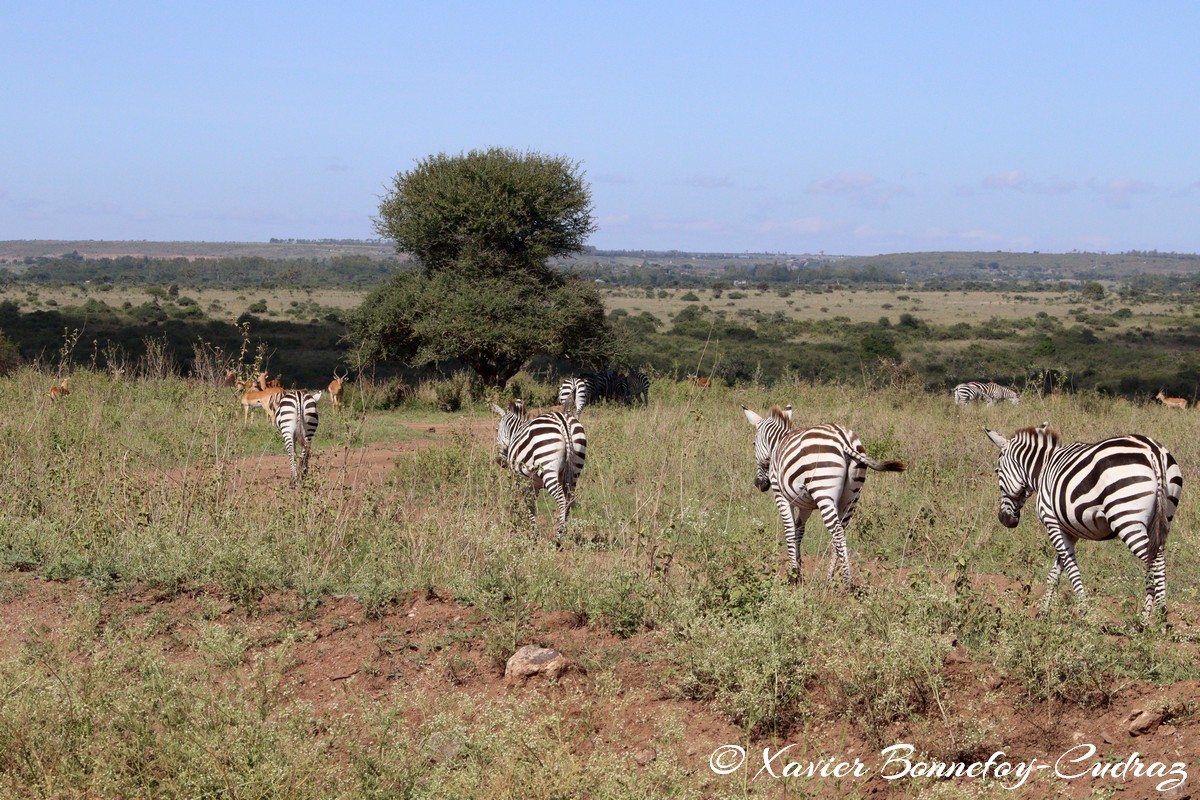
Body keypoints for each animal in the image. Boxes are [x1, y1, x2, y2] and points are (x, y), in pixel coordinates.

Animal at [484, 402, 583, 546]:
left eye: (497, 430)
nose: (500, 461)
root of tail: (562, 420)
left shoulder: (523, 482)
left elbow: (528, 505)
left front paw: (533, 534)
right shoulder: (534, 484)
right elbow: (532, 505)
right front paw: (534, 532)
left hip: (547, 467)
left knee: (561, 499)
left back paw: (558, 537)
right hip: (575, 470)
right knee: (569, 499)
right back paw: (564, 532)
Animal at [744, 407, 902, 587]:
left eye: (754, 444)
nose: (760, 484)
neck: (778, 444)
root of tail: (843, 440)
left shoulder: (781, 496)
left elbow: (789, 531)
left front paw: (793, 575)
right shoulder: (805, 505)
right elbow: (799, 531)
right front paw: (798, 569)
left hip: (823, 492)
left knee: (837, 532)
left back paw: (848, 583)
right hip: (851, 497)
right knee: (840, 533)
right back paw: (828, 580)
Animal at [984, 422, 1180, 623]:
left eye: (997, 471)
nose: (1005, 520)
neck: (1043, 469)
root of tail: (1152, 450)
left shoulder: (1053, 523)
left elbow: (1071, 569)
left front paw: (1085, 613)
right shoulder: (1069, 531)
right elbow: (1055, 572)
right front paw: (1043, 612)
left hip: (1126, 518)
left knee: (1155, 560)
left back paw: (1161, 615)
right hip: (1162, 520)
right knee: (1154, 561)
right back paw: (1145, 620)